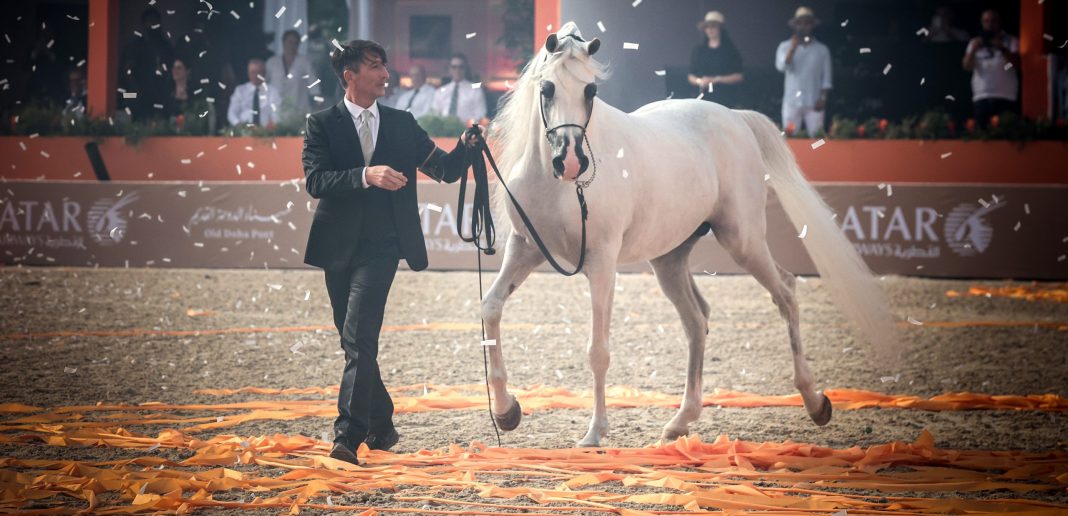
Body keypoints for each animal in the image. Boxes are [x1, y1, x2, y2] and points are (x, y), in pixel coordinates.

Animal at [482, 22, 892, 446]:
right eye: (547, 88)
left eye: (590, 90)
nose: (572, 162)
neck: (558, 188)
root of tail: (735, 118)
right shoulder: (524, 248)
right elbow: (490, 308)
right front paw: (507, 411)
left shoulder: (602, 262)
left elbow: (598, 350)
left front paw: (595, 433)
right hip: (670, 259)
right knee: (697, 320)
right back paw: (681, 420)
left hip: (743, 241)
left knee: (786, 292)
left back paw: (814, 401)